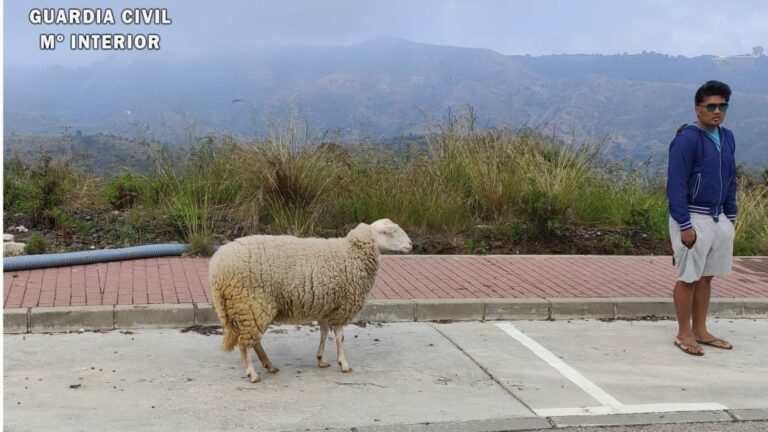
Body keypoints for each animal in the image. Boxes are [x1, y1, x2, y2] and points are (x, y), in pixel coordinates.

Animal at [208, 218, 412, 383]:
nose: (411, 244)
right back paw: (252, 374)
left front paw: (321, 359)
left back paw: (270, 365)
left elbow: (324, 333)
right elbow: (340, 337)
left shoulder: (328, 305)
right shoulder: (343, 305)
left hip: (251, 307)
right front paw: (344, 364)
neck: (351, 253)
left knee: (254, 341)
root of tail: (217, 269)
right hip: (253, 303)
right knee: (245, 343)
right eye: (392, 231)